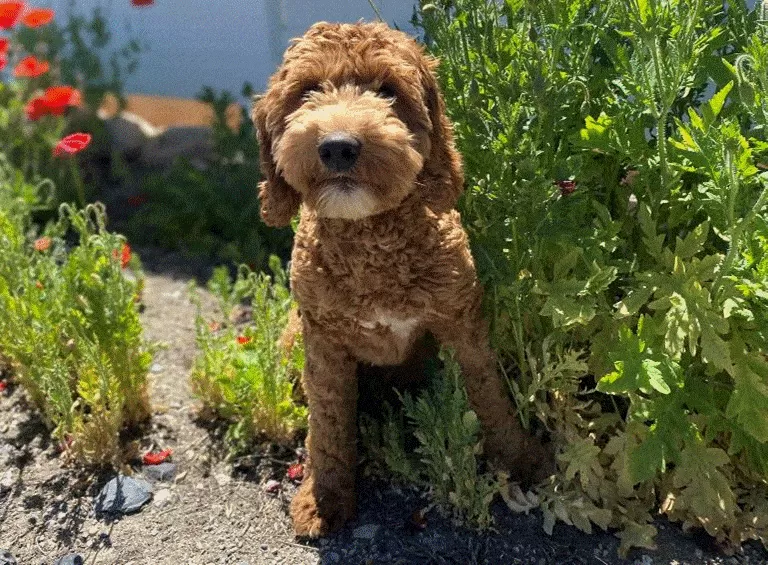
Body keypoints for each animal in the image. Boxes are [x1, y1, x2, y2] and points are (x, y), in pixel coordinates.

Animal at [255, 19, 548, 536]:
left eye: (388, 91)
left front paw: (520, 459)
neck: (372, 245)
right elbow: (327, 424)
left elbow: (490, 395)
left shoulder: (462, 322)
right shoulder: (324, 342)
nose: (338, 146)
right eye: (307, 91)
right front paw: (323, 499)